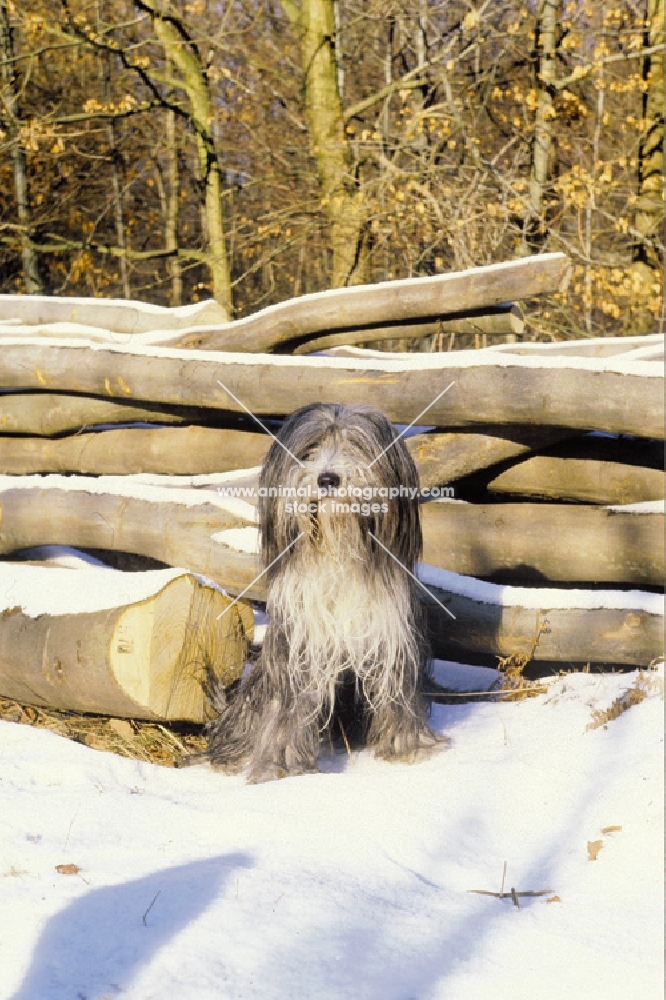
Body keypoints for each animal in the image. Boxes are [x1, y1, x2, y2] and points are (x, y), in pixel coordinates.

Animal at [205, 404, 438, 780]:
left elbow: (397, 694)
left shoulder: (392, 636)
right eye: (309, 450)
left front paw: (408, 748)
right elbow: (288, 709)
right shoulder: (299, 646)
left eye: (355, 446)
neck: (338, 546)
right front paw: (282, 764)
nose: (328, 478)